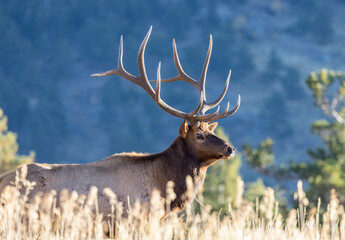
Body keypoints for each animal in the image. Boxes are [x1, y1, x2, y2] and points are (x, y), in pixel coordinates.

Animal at [0, 26, 241, 219]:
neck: (163, 186)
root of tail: (3, 181)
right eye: (199, 135)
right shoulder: (128, 219)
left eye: (210, 130)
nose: (230, 148)